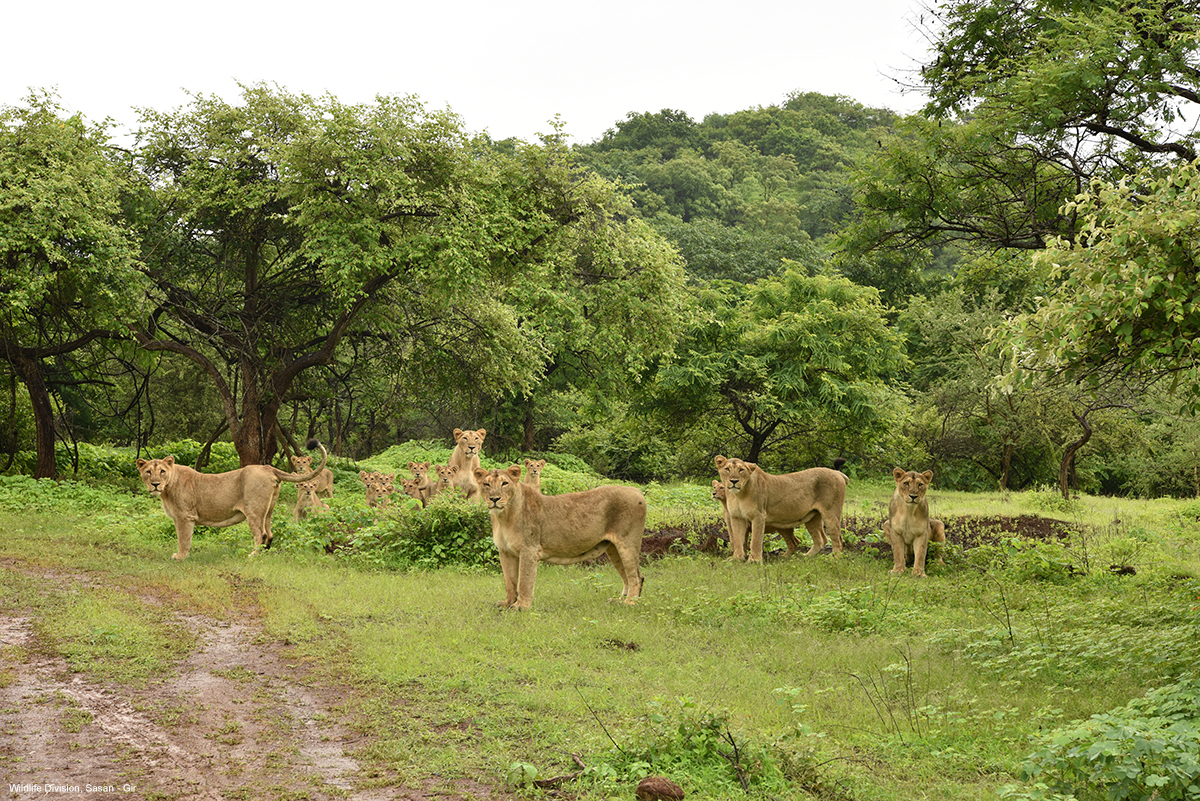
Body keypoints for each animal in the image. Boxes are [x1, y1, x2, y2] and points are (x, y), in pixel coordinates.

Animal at [138, 434, 331, 561]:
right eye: (148, 472)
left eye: (162, 471)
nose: (155, 484)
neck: (167, 488)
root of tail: (268, 467)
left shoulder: (185, 517)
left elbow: (183, 539)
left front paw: (180, 556)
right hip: (268, 510)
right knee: (269, 533)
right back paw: (265, 552)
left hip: (254, 510)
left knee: (260, 533)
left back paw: (252, 555)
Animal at [475, 465, 648, 609]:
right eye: (486, 484)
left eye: (504, 483)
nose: (494, 499)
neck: (504, 516)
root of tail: (637, 490)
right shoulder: (505, 552)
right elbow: (509, 582)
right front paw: (506, 603)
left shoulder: (529, 550)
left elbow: (524, 582)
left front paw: (520, 607)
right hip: (613, 548)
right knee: (628, 576)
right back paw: (618, 601)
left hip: (628, 543)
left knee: (635, 577)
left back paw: (630, 603)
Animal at [715, 455, 849, 563]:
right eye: (727, 469)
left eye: (741, 470)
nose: (734, 481)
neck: (738, 495)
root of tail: (837, 473)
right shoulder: (737, 517)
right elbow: (737, 539)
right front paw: (736, 559)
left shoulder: (758, 516)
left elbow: (755, 541)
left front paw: (754, 561)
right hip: (812, 517)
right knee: (820, 539)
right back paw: (804, 557)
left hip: (831, 513)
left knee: (838, 540)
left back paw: (834, 559)